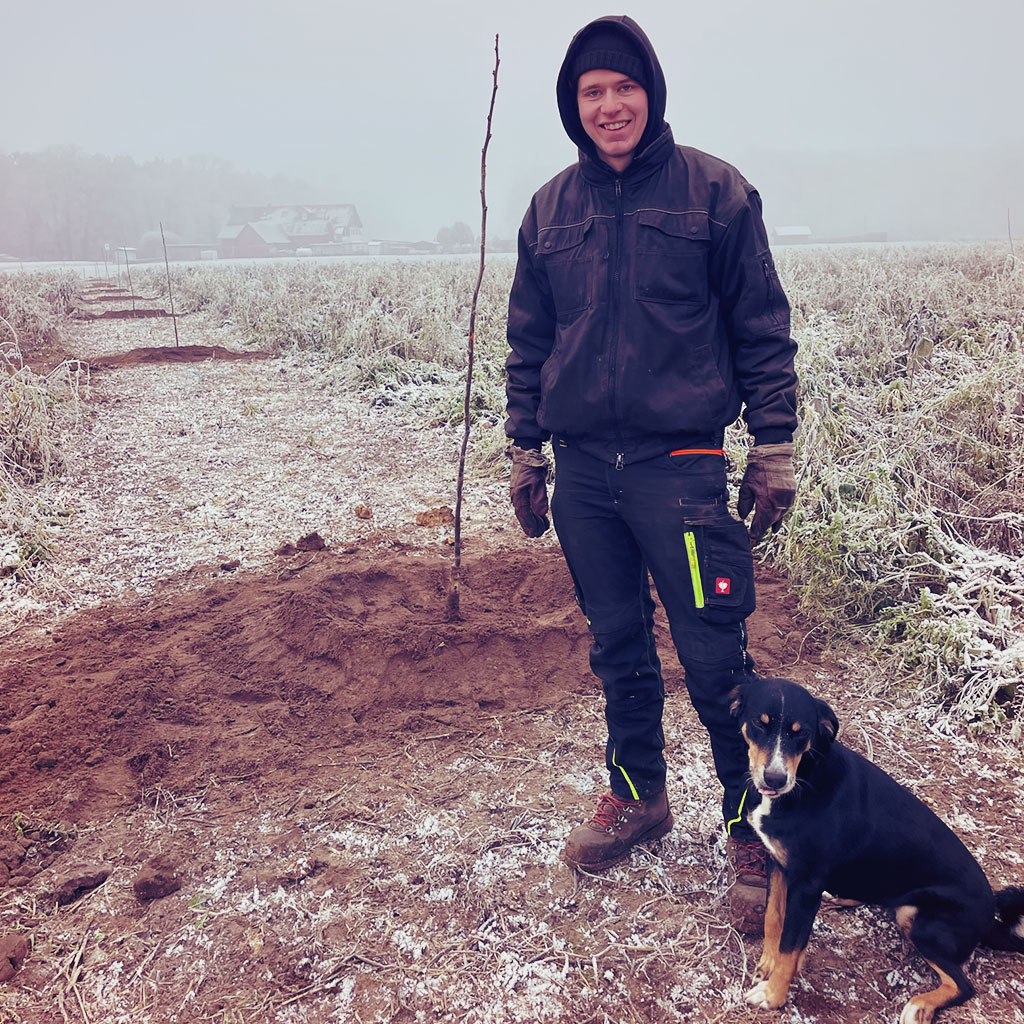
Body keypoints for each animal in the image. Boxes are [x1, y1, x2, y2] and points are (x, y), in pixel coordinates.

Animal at [729, 675, 1024, 1019]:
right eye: (758, 724)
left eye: (800, 732)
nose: (775, 779)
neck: (806, 777)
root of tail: (989, 919)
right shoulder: (778, 864)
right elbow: (774, 918)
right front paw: (769, 963)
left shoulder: (806, 884)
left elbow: (791, 945)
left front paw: (773, 995)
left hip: (920, 922)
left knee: (964, 986)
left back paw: (920, 1005)